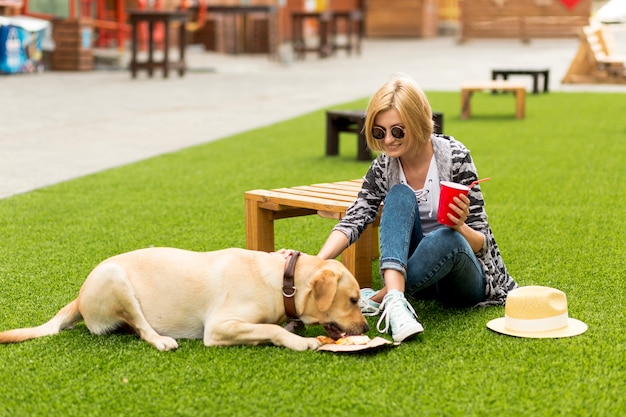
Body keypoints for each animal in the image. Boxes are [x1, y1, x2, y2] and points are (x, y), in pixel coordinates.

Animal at [0, 249, 368, 350]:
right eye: (352, 300)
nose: (365, 327)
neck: (281, 282)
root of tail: (78, 298)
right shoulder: (219, 327)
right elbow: (272, 330)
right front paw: (298, 340)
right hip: (116, 278)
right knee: (141, 328)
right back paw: (162, 340)